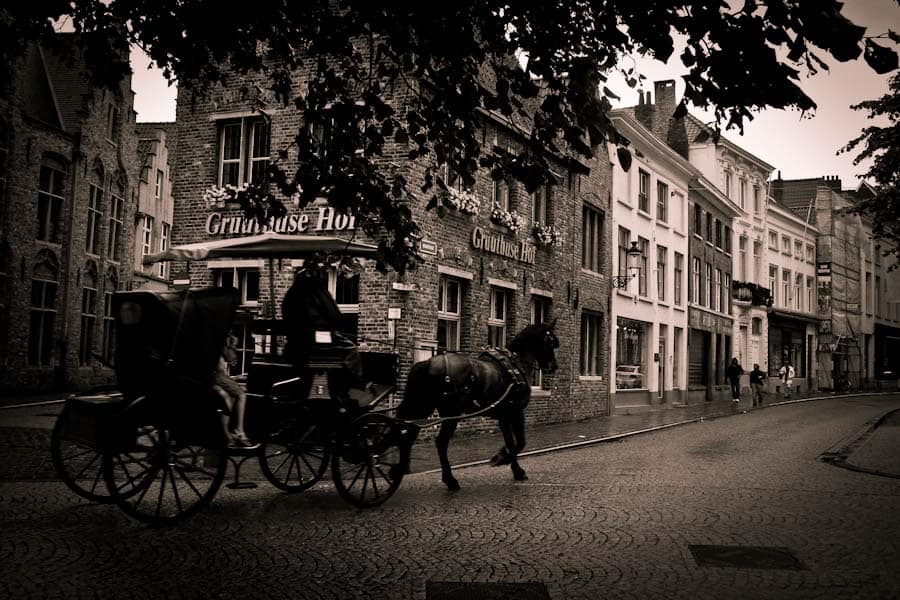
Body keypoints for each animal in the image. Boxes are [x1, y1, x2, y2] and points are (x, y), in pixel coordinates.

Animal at [398, 322, 560, 490]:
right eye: (550, 342)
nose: (554, 366)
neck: (515, 365)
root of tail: (428, 363)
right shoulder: (516, 412)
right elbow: (520, 442)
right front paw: (503, 459)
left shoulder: (504, 417)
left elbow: (510, 442)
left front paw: (514, 468)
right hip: (450, 413)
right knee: (441, 442)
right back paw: (450, 480)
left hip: (423, 408)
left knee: (408, 433)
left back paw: (403, 469)